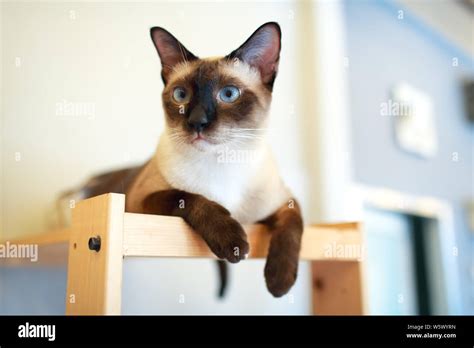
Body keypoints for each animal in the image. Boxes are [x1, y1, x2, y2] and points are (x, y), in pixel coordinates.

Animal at [73, 23, 304, 298]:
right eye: (180, 95)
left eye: (229, 94)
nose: (197, 122)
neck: (221, 161)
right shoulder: (141, 203)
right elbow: (190, 198)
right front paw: (233, 244)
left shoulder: (286, 203)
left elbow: (293, 228)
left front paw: (279, 282)